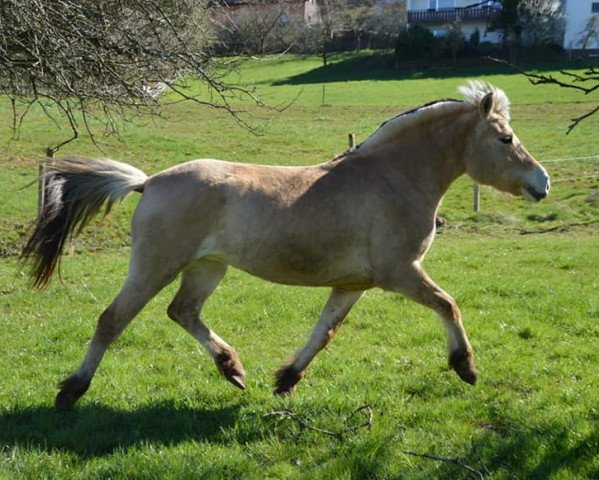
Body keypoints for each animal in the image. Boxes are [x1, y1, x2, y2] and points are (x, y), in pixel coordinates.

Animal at [24, 80, 552, 406]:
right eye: (506, 139)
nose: (542, 182)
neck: (392, 177)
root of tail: (149, 182)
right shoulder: (399, 273)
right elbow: (448, 304)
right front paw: (466, 368)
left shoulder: (354, 284)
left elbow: (324, 333)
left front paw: (285, 381)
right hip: (156, 265)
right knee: (112, 320)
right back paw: (71, 392)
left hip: (207, 267)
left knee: (182, 312)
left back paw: (234, 370)